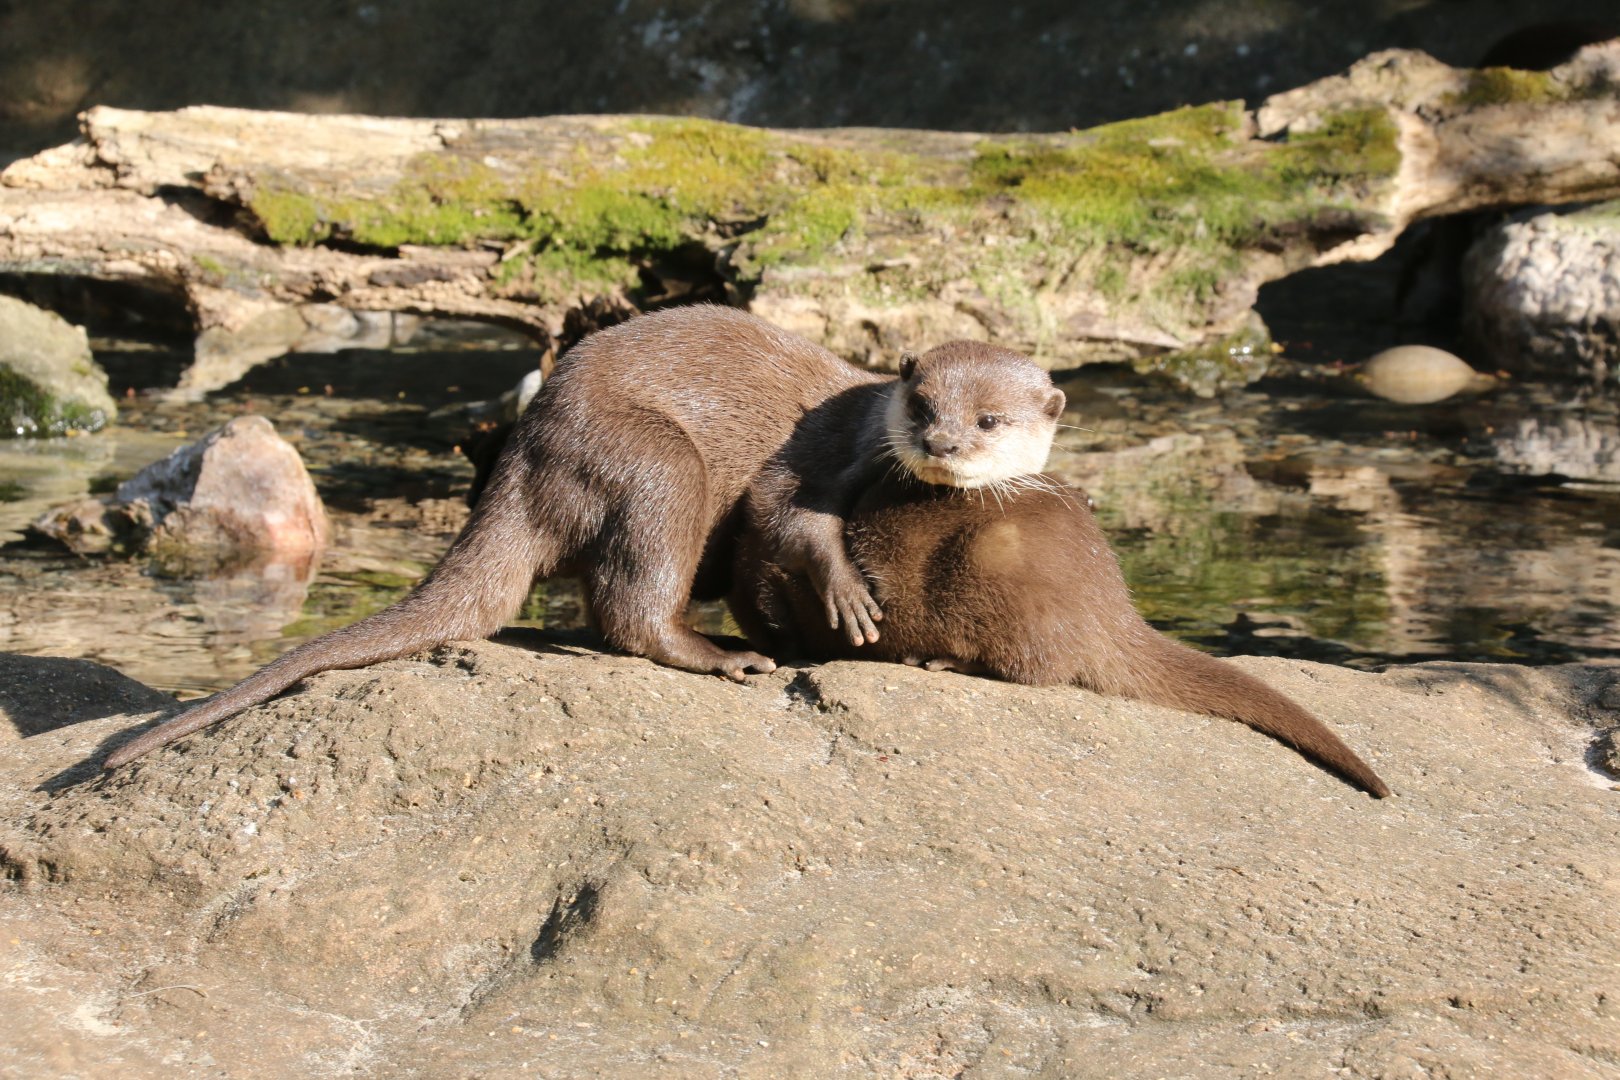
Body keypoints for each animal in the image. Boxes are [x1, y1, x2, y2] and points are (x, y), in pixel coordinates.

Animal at [104, 308, 1064, 769]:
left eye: (989, 419)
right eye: (921, 405)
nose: (943, 445)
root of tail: (526, 451)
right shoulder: (822, 456)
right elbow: (789, 515)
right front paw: (847, 598)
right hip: (655, 462)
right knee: (633, 606)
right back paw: (722, 658)